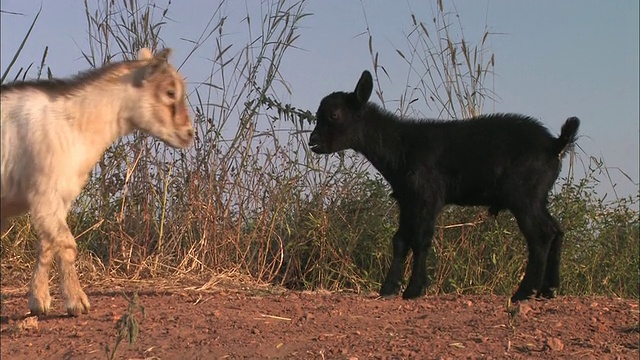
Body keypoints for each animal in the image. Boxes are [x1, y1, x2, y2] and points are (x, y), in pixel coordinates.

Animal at [1, 47, 195, 316]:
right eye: (170, 92)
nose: (189, 133)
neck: (74, 123)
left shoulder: (58, 199)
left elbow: (48, 246)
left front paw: (39, 301)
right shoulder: (45, 194)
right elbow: (67, 245)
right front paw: (77, 302)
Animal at [308, 69, 580, 300]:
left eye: (334, 115)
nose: (313, 142)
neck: (400, 145)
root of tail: (555, 144)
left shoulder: (427, 196)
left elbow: (420, 239)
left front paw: (414, 289)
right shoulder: (407, 199)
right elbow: (400, 240)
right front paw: (389, 288)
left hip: (523, 195)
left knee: (540, 236)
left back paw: (524, 292)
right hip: (538, 197)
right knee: (556, 230)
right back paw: (548, 289)